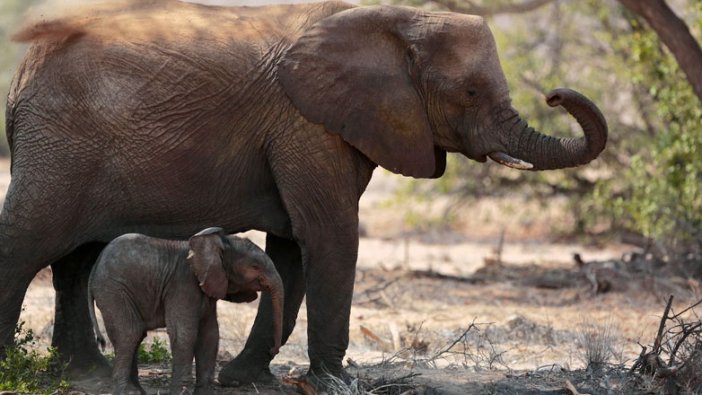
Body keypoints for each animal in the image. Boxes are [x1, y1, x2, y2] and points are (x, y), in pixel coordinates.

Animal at [88, 227, 286, 394]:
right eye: (255, 267)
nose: (273, 350)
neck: (217, 244)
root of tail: (95, 264)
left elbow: (210, 335)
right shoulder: (183, 284)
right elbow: (184, 333)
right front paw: (180, 392)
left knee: (134, 335)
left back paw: (136, 391)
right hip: (113, 290)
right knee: (130, 334)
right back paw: (127, 391)